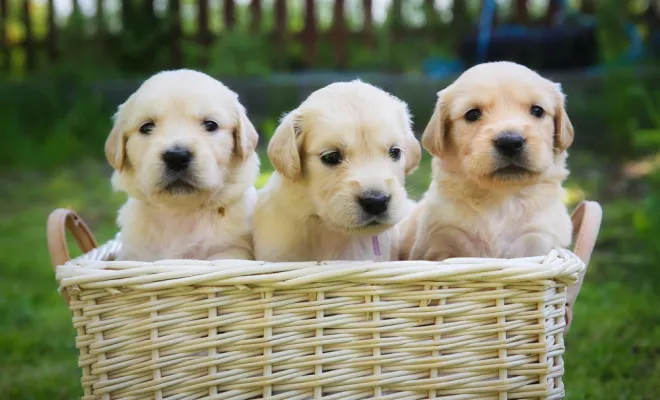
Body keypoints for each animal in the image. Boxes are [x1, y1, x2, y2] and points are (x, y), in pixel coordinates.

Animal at [105, 70, 258, 260]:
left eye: (210, 124)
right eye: (146, 127)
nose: (176, 157)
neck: (180, 214)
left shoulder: (230, 250)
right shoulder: (134, 254)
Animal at [400, 61, 576, 260]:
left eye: (537, 110)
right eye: (472, 114)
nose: (510, 142)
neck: (501, 200)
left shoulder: (539, 241)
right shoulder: (440, 242)